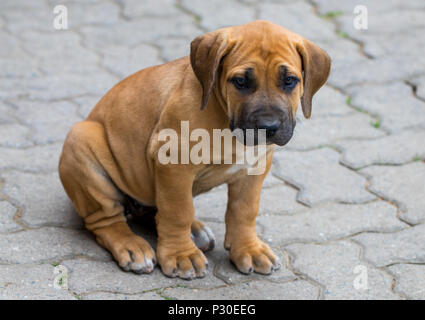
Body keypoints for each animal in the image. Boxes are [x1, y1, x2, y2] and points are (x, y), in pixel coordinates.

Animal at [58, 20, 332, 280]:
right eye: (240, 82)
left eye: (289, 81)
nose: (268, 126)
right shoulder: (173, 163)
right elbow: (178, 210)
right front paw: (182, 256)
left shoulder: (256, 166)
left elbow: (244, 210)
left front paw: (249, 249)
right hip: (81, 143)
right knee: (106, 220)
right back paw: (131, 245)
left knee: (152, 211)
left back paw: (194, 230)